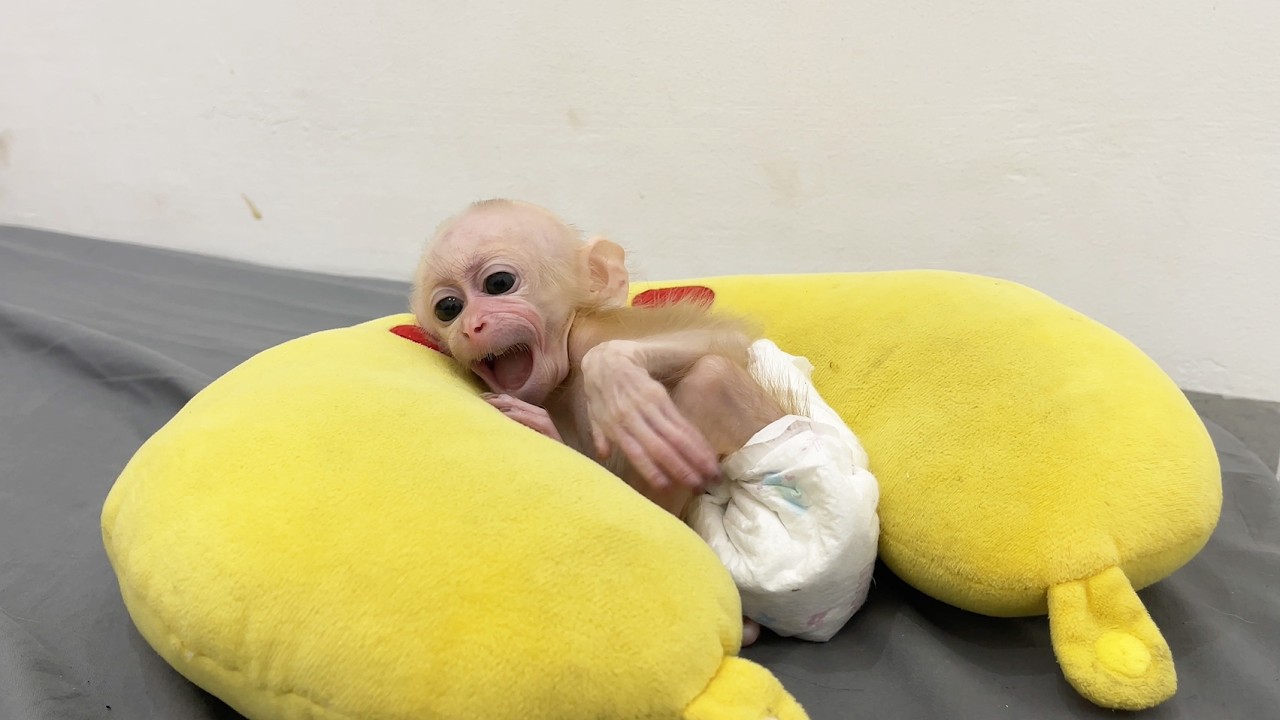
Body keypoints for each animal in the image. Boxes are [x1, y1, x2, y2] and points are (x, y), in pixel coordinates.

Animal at [410, 199, 880, 647]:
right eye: (449, 307)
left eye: (498, 284)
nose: (472, 326)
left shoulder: (589, 337)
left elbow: (725, 342)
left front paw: (614, 373)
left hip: (805, 506)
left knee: (711, 377)